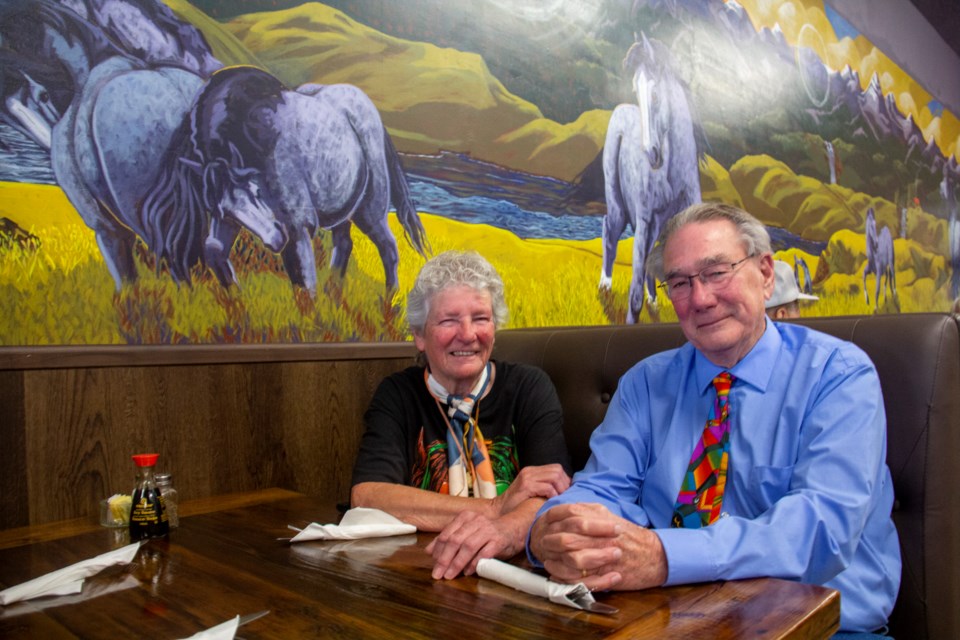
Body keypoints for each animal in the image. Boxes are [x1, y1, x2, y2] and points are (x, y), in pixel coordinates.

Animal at [596, 34, 700, 322]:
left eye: (654, 94)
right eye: (636, 90)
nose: (651, 154)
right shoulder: (643, 220)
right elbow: (634, 296)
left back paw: (653, 300)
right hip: (619, 205)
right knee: (609, 230)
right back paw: (605, 286)